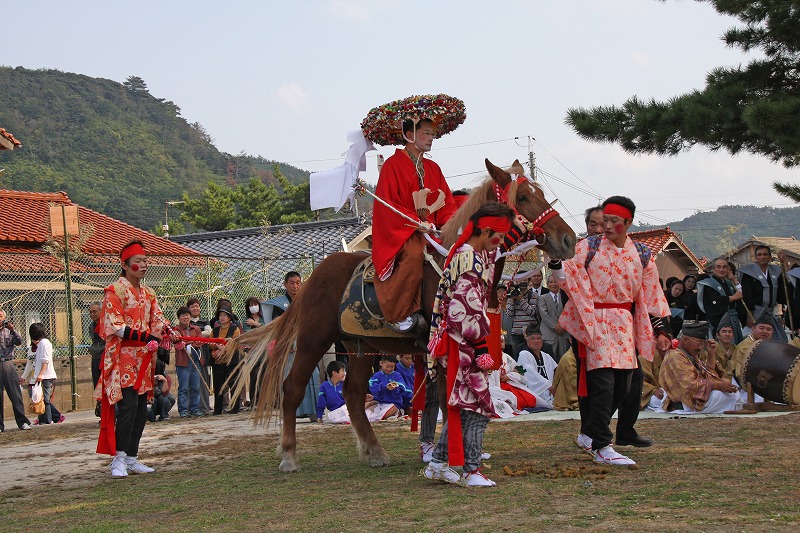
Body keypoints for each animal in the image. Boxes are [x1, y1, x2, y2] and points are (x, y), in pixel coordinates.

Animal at [225, 157, 576, 470]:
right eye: (523, 197)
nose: (568, 239)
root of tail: (313, 276)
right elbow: (449, 399)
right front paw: (451, 457)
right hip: (314, 339)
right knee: (293, 388)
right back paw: (288, 454)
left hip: (358, 345)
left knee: (353, 394)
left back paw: (374, 451)